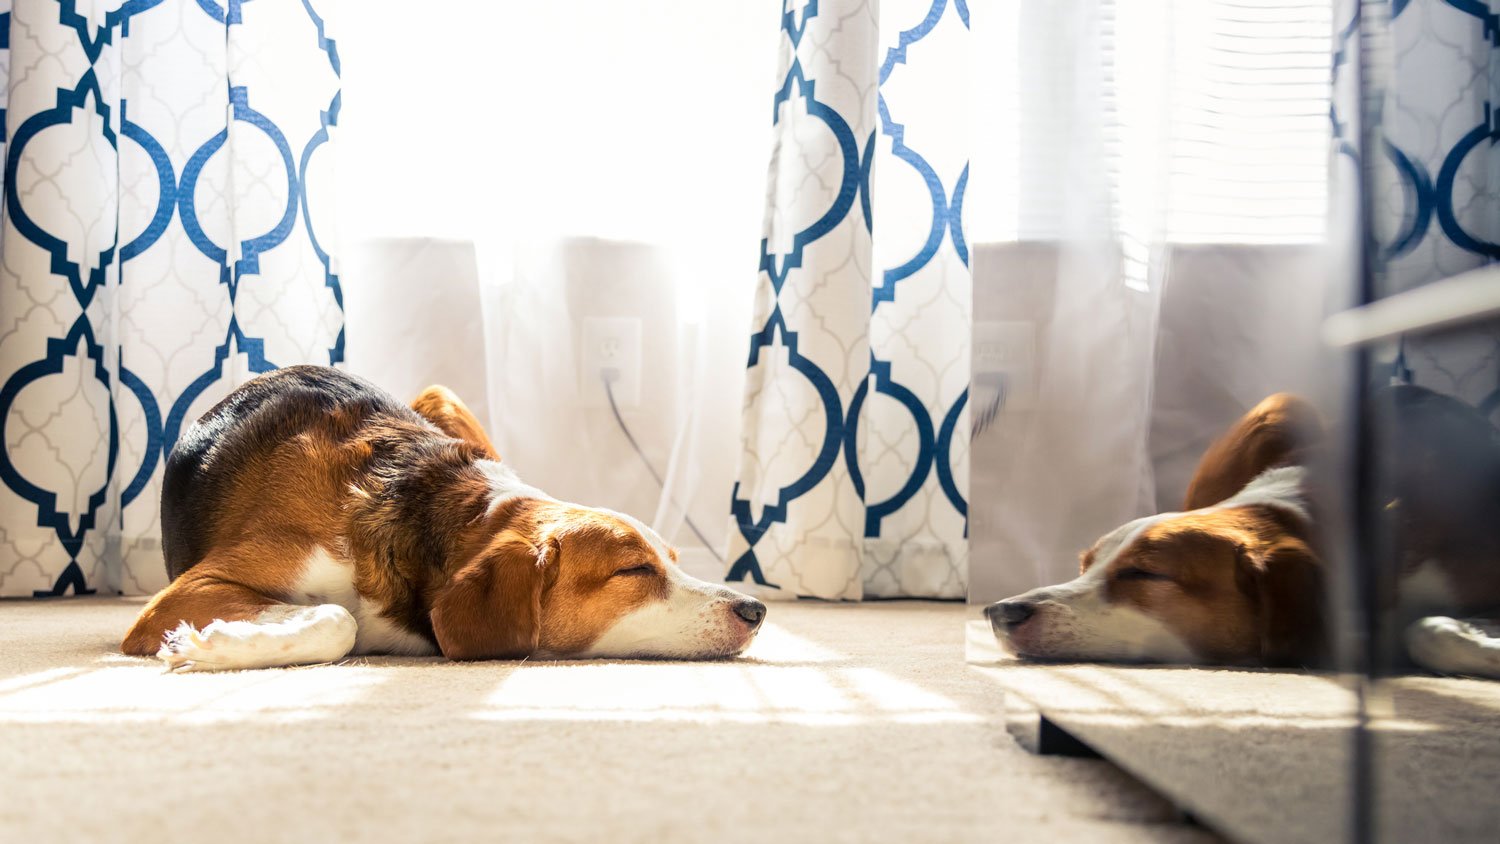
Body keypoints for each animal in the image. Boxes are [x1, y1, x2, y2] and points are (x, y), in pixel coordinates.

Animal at [123, 367, 768, 671]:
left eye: (674, 560)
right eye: (634, 570)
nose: (756, 610)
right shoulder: (180, 596)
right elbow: (338, 618)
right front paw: (212, 644)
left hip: (441, 396)